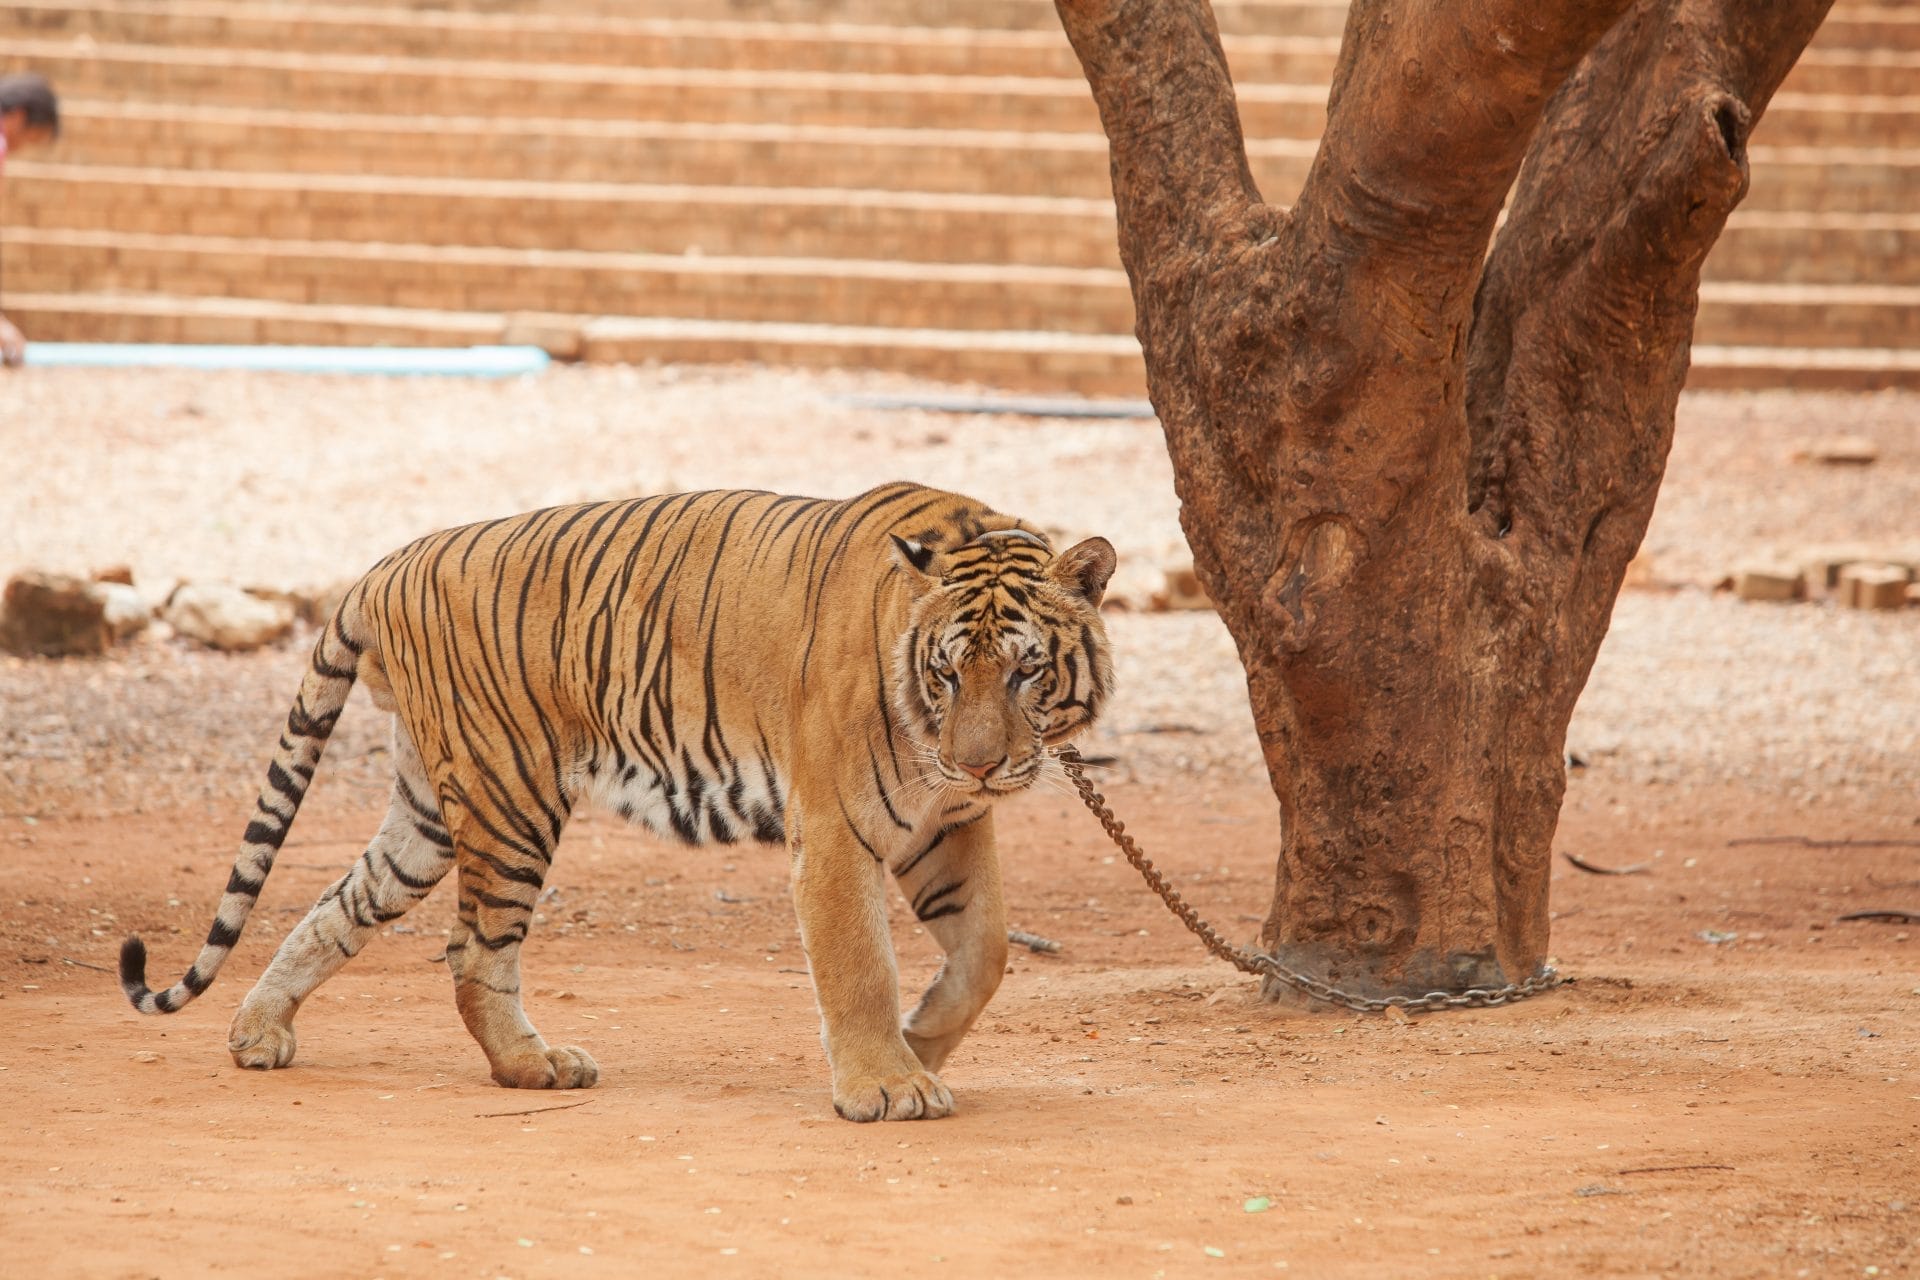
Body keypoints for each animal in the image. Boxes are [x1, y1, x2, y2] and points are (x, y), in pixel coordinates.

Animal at [119, 482, 1116, 1122]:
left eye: (1025, 671)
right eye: (946, 673)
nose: (980, 764)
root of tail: (384, 565)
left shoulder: (947, 826)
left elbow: (985, 952)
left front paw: (922, 1044)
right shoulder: (838, 827)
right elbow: (860, 962)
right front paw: (887, 1084)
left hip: (428, 812)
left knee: (339, 905)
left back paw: (258, 1032)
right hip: (511, 793)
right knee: (472, 948)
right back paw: (533, 1064)